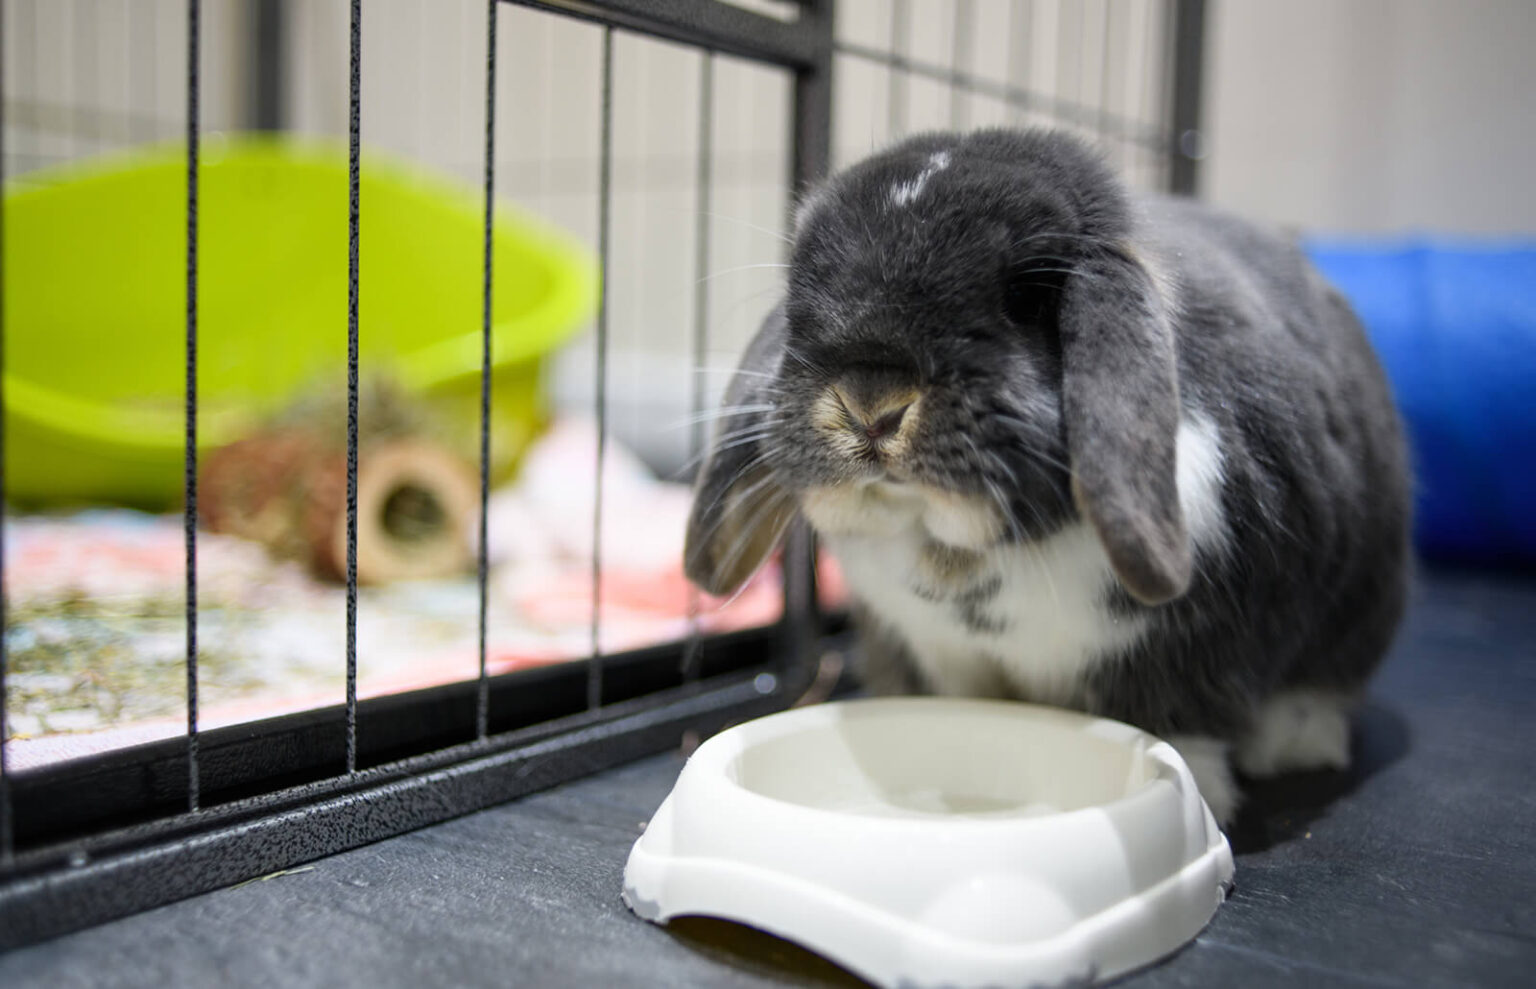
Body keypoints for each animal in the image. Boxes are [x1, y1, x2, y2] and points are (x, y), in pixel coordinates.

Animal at [684, 128, 1410, 824]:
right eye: (798, 295)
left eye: (1026, 295)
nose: (871, 405)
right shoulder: (937, 652)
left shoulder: (1193, 648)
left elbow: (1181, 723)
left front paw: (1199, 792)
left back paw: (1297, 743)